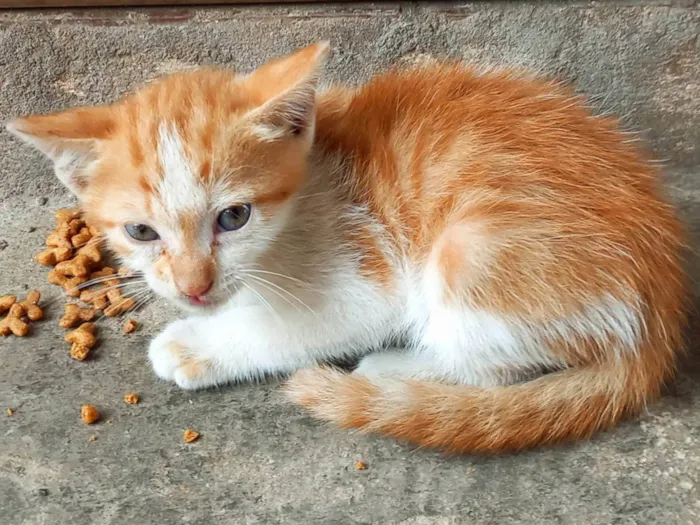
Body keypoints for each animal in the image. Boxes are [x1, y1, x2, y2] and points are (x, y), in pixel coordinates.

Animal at [8, 44, 688, 454]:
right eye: (141, 233)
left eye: (234, 217)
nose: (194, 287)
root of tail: (663, 307)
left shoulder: (368, 276)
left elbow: (292, 327)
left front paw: (200, 346)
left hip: (471, 250)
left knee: (491, 365)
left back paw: (396, 370)